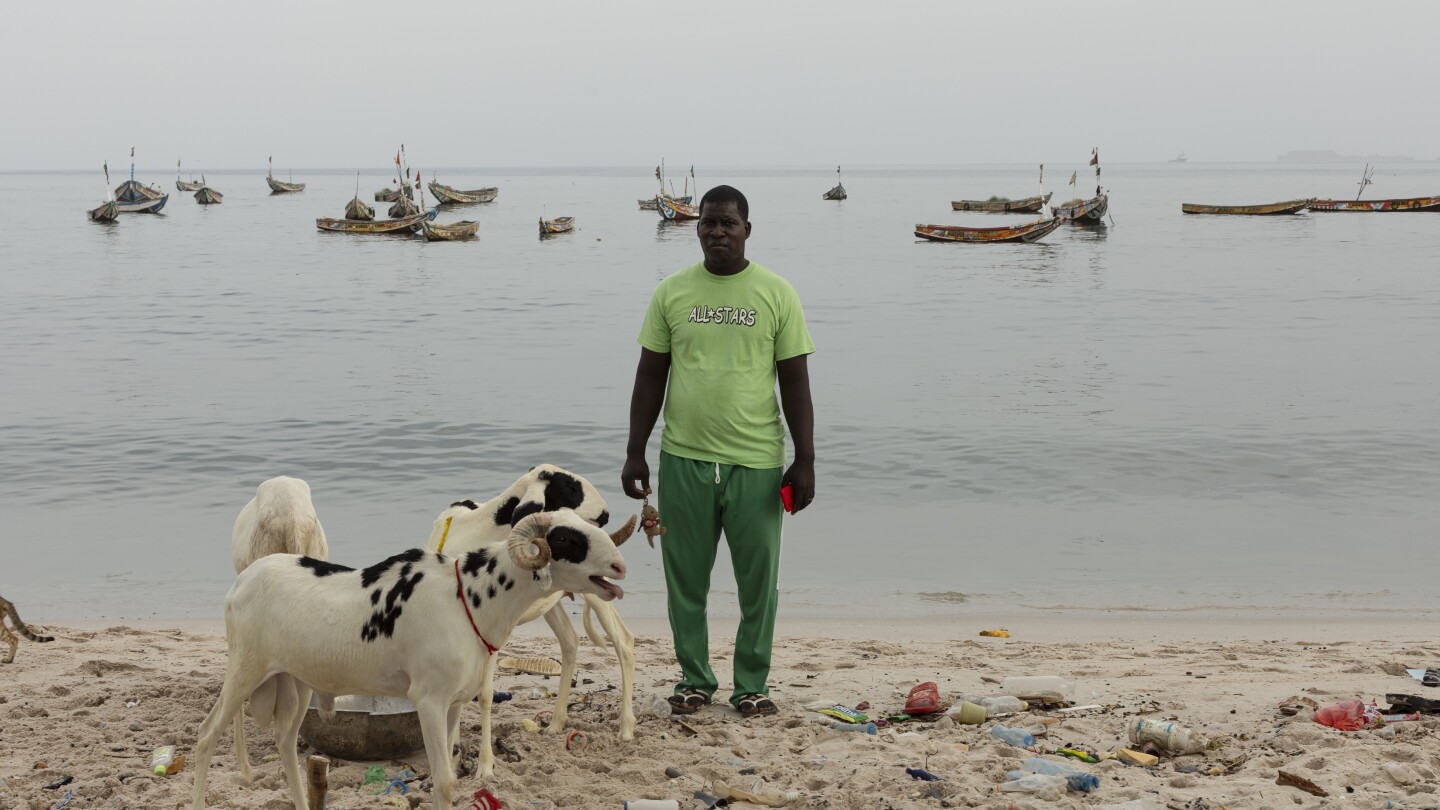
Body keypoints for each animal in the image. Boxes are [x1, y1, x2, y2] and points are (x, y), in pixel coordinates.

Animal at [188, 510, 627, 807]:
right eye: (568, 539)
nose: (620, 565)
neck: (468, 598)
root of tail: (240, 584)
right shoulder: (429, 702)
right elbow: (444, 782)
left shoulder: (454, 704)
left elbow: (448, 775)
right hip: (245, 670)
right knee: (206, 738)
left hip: (295, 683)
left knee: (283, 741)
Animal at [426, 466, 642, 737]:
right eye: (570, 486)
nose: (605, 514)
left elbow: (484, 694)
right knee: (570, 641)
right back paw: (556, 723)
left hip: (595, 591)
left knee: (623, 641)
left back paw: (626, 728)